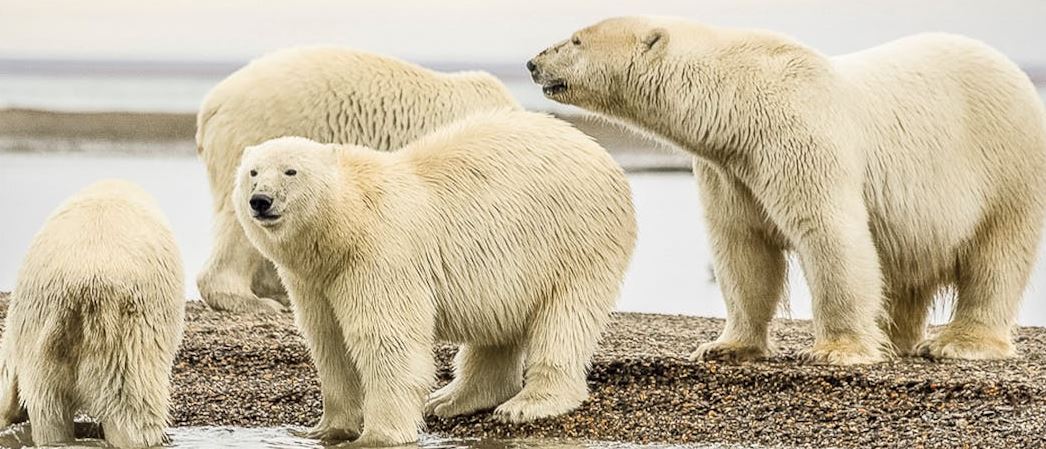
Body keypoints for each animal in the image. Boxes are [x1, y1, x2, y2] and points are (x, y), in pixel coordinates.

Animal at [232, 109, 637, 446]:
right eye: (253, 172)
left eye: (291, 171)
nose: (261, 200)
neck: (345, 225)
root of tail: (599, 152)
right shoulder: (314, 279)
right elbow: (328, 340)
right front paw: (326, 428)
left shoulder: (379, 256)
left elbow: (387, 340)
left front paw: (378, 435)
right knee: (497, 328)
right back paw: (452, 399)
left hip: (574, 239)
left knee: (565, 318)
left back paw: (527, 404)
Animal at [527, 16, 1046, 364]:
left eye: (575, 39)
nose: (532, 62)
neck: (739, 101)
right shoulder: (729, 168)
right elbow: (742, 248)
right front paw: (724, 346)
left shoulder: (798, 139)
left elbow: (830, 233)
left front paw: (837, 350)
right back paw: (894, 335)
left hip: (1007, 163)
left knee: (996, 255)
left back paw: (961, 342)